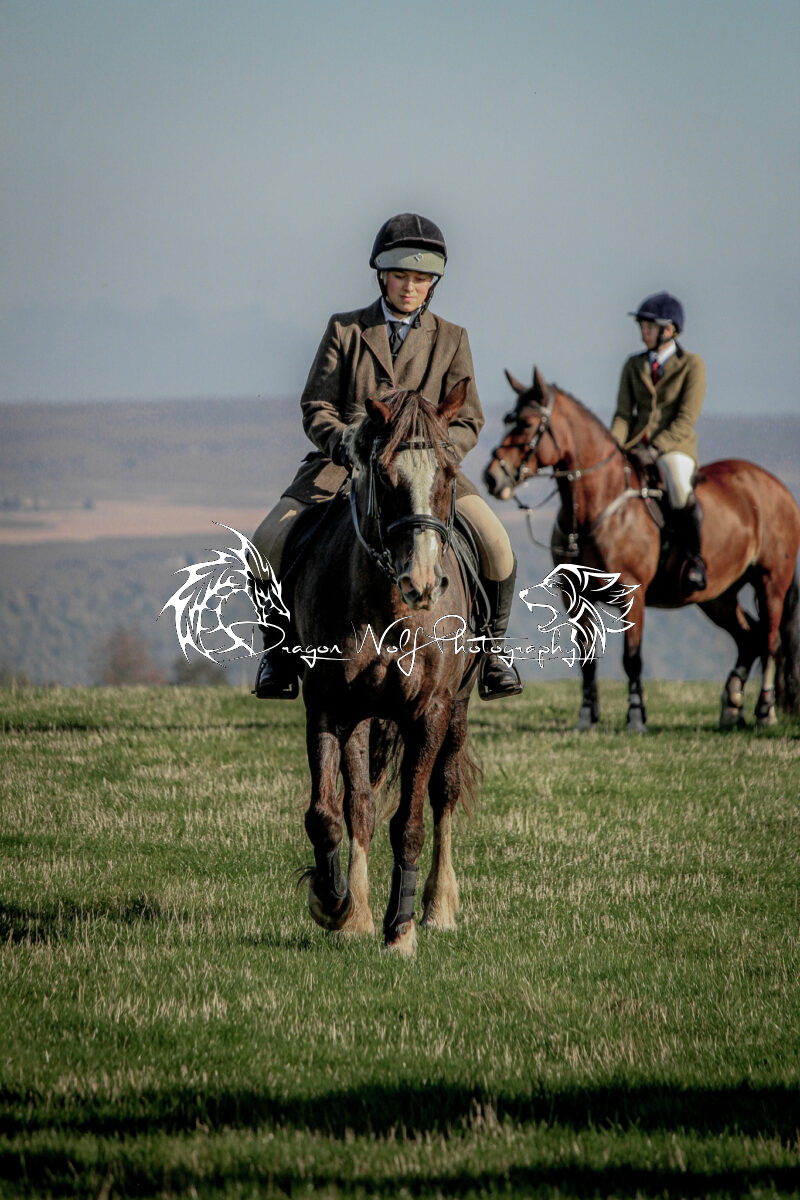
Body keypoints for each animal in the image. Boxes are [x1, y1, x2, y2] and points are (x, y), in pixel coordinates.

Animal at [288, 382, 479, 954]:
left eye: (449, 470)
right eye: (385, 475)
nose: (422, 583)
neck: (391, 608)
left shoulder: (430, 712)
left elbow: (410, 822)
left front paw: (402, 930)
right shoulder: (332, 706)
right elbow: (331, 813)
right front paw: (335, 904)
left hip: (459, 710)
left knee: (444, 792)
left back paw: (438, 907)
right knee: (362, 804)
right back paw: (356, 910)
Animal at [483, 367, 800, 732]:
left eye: (525, 424)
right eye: (509, 420)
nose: (492, 478)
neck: (597, 507)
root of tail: (776, 487)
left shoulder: (631, 593)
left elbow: (631, 658)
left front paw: (636, 717)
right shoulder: (574, 597)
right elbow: (587, 659)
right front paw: (586, 718)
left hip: (770, 582)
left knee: (770, 640)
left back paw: (764, 711)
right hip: (717, 596)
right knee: (749, 636)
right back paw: (731, 708)